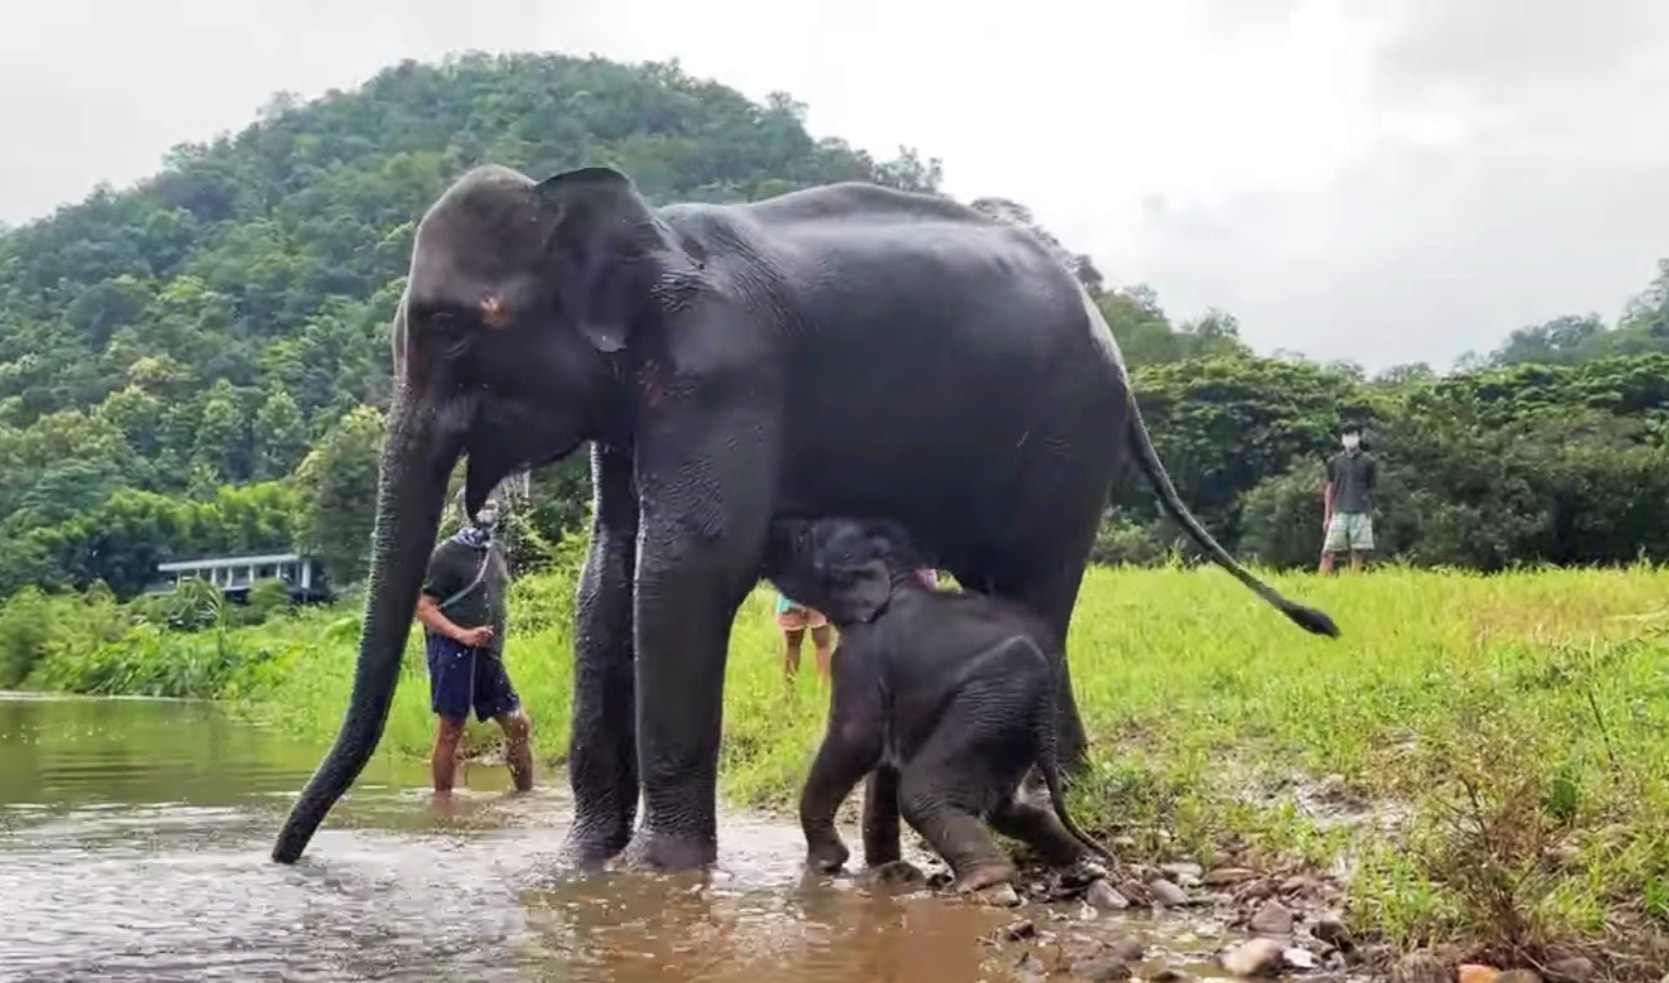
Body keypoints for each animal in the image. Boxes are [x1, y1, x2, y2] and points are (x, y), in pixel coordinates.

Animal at [764, 517, 1108, 894]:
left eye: (804, 538)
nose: (777, 526)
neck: (897, 573)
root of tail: (1045, 696)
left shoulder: (860, 656)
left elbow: (857, 739)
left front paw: (824, 866)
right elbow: (885, 759)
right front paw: (886, 872)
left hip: (988, 708)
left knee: (923, 794)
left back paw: (984, 880)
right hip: (1010, 726)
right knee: (1006, 809)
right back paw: (1085, 866)